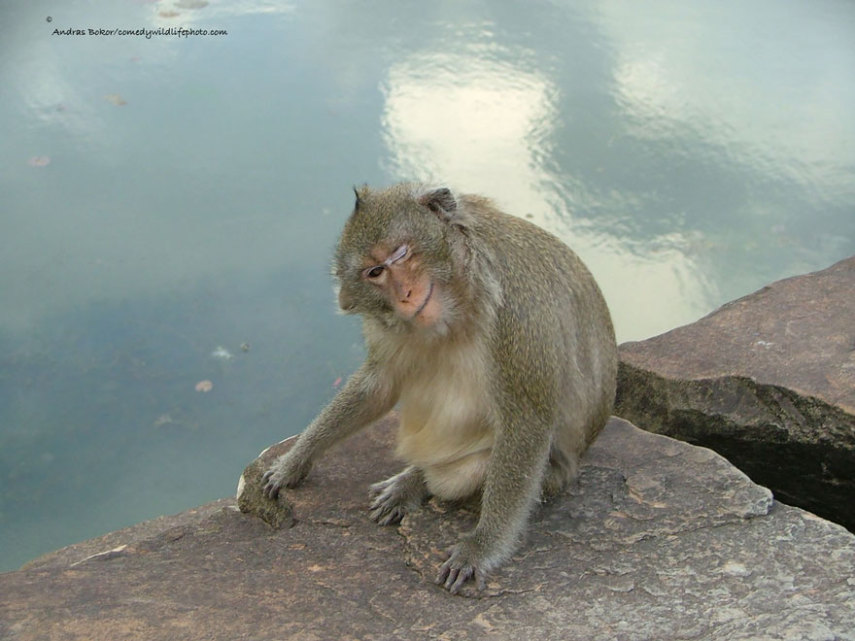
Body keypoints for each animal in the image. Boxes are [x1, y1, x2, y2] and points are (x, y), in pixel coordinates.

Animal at [260, 182, 616, 592]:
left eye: (401, 253)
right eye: (375, 272)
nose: (405, 295)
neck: (463, 294)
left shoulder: (517, 310)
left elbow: (526, 421)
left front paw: (481, 546)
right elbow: (378, 384)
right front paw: (296, 460)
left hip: (557, 472)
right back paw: (414, 479)